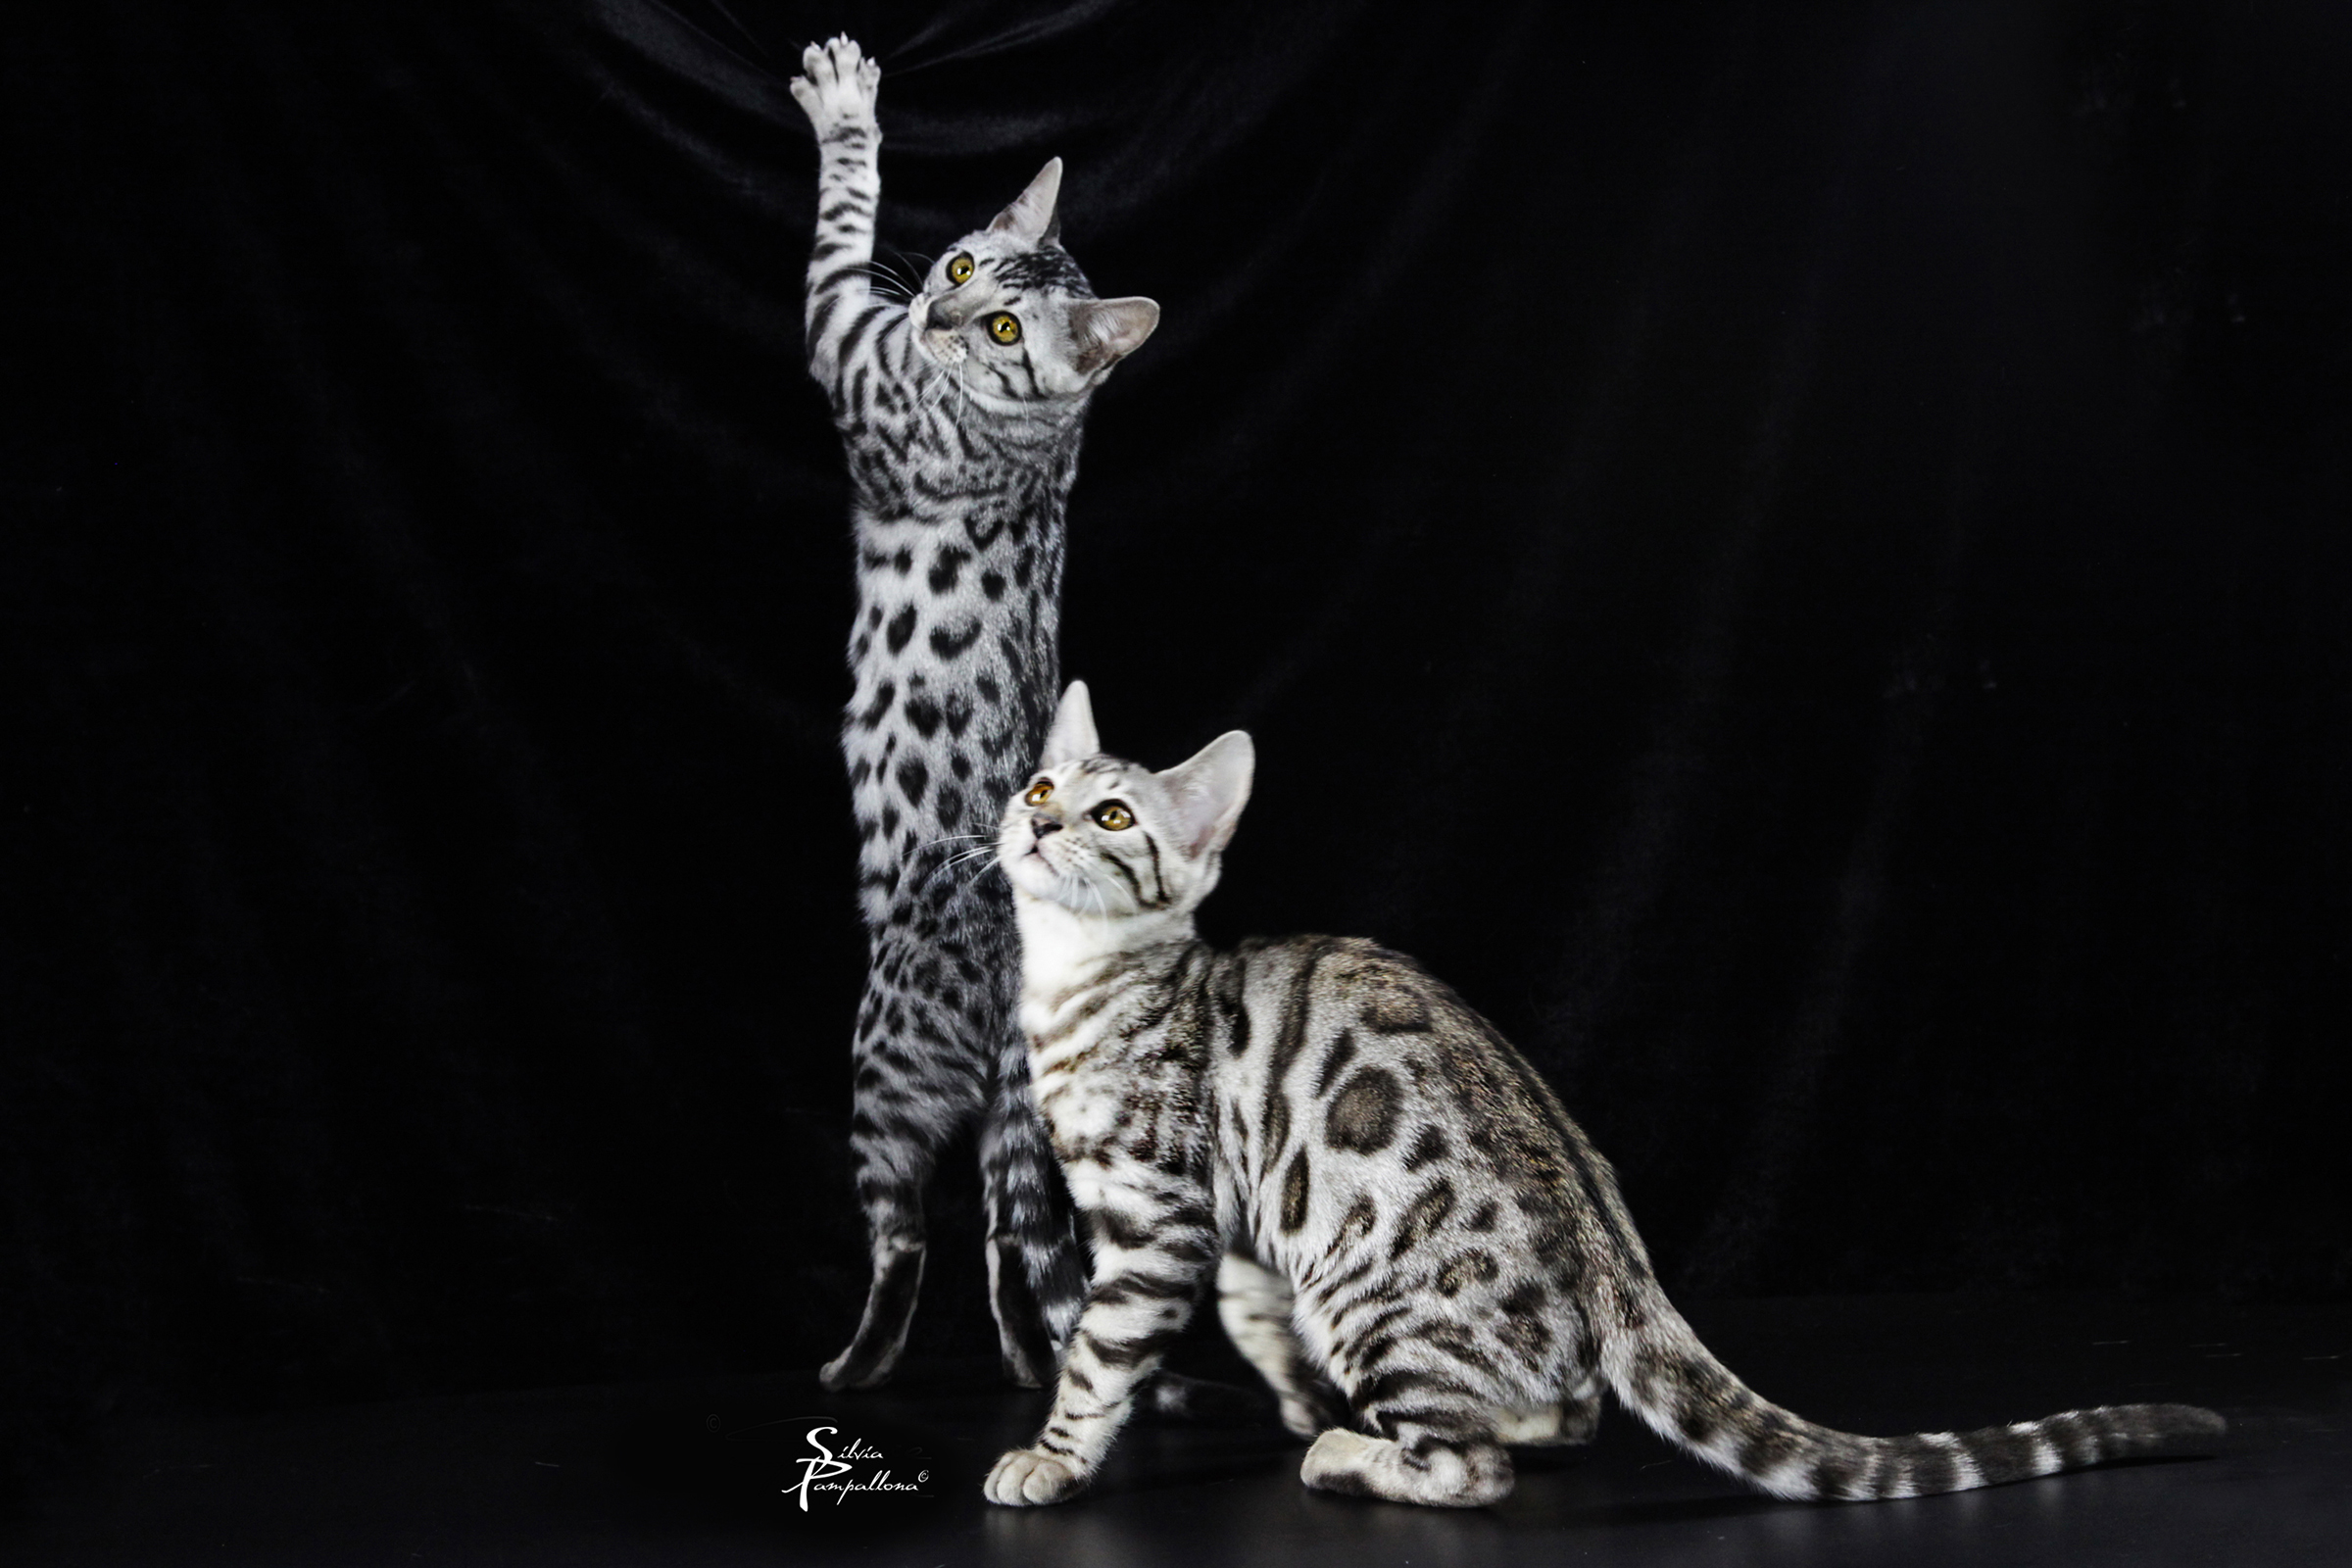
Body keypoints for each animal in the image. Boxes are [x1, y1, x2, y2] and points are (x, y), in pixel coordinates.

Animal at [788, 37, 1162, 1393]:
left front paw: (848, 113)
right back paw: (1016, 1361)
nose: (936, 316)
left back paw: (859, 1362)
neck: (1043, 431)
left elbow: (840, 237)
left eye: (1002, 324)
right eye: (958, 269)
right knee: (1014, 1226)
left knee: (914, 1228)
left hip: (882, 1049)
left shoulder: (851, 353)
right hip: (985, 1098)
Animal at [980, 681, 2226, 1507]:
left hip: (1371, 1297)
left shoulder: (1158, 1217)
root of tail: (1621, 1265)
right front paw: (1291, 1393)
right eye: (1041, 783)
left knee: (1472, 1466)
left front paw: (1052, 1455)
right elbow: (1249, 1314)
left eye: (1112, 817)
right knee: (1563, 1412)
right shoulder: (1237, 1212)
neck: (1075, 982)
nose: (1036, 818)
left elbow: (1097, 1351)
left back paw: (1352, 1455)